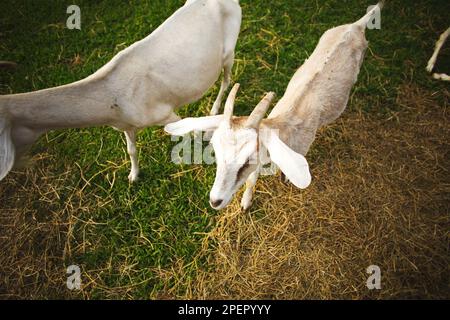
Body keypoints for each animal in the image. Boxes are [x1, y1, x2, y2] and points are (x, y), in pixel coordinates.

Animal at [0, 0, 241, 181]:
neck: (112, 94)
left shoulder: (165, 113)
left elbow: (188, 130)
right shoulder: (125, 123)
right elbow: (131, 149)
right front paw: (133, 176)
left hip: (228, 51)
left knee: (226, 80)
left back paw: (214, 110)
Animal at [165, 2, 384, 210]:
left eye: (246, 161)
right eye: (216, 152)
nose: (215, 201)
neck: (285, 126)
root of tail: (356, 26)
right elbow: (252, 180)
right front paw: (246, 202)